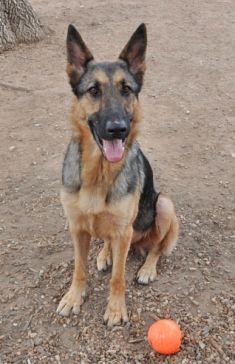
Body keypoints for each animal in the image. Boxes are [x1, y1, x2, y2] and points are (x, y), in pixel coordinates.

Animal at [56, 22, 178, 326]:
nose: (118, 129)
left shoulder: (124, 230)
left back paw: (146, 268)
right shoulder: (77, 227)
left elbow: (118, 278)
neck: (98, 173)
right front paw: (74, 297)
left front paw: (115, 309)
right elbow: (79, 268)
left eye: (126, 90)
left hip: (163, 205)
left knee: (156, 248)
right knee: (108, 241)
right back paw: (104, 254)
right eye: (93, 90)